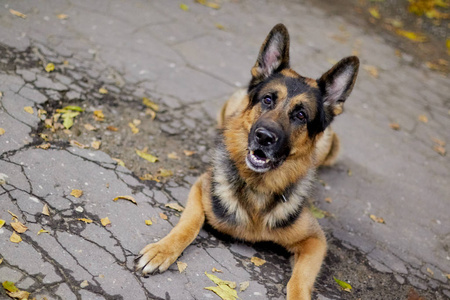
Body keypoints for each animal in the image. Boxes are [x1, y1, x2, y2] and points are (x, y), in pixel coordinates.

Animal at [135, 24, 360, 300]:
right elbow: (190, 223)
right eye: (268, 99)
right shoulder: (200, 188)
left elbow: (299, 281)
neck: (258, 187)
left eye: (300, 115)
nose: (264, 137)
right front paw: (162, 250)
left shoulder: (315, 241)